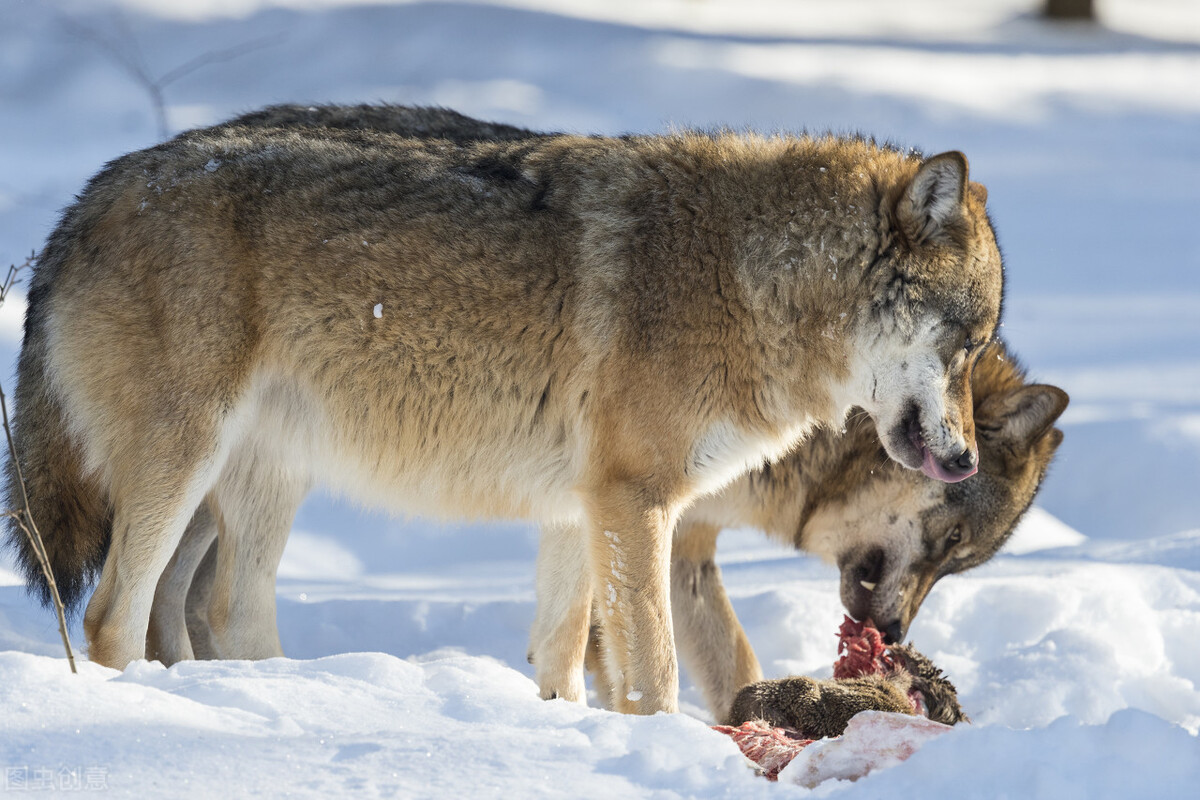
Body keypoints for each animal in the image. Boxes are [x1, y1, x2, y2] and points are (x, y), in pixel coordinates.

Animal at [7, 106, 1003, 714]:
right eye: (966, 342)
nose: (965, 461)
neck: (748, 281)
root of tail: (86, 198)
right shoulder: (636, 504)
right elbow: (655, 672)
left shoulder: (578, 510)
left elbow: (560, 660)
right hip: (190, 462)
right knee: (114, 616)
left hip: (265, 479)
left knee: (221, 613)